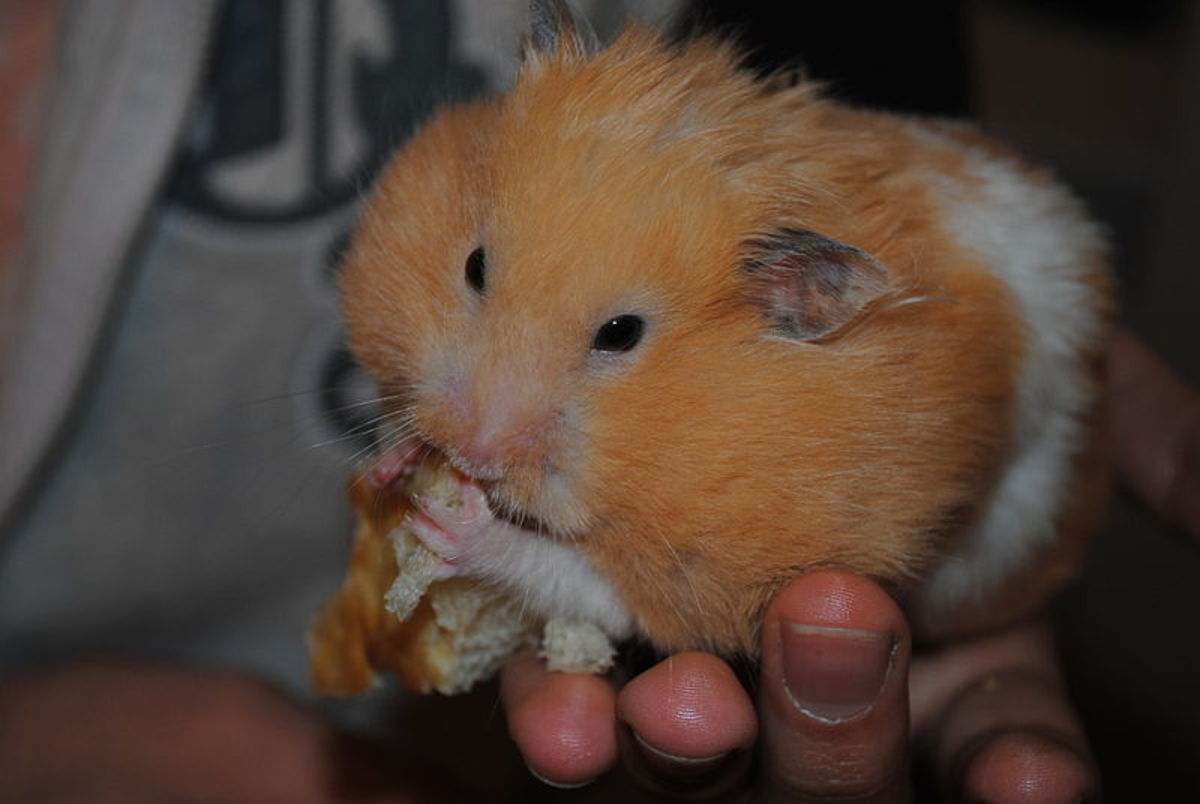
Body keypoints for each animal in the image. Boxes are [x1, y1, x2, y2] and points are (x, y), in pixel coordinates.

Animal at [338, 0, 1111, 658]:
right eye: (475, 266)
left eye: (621, 334)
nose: (475, 452)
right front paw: (397, 462)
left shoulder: (714, 575)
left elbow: (589, 586)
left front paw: (452, 525)